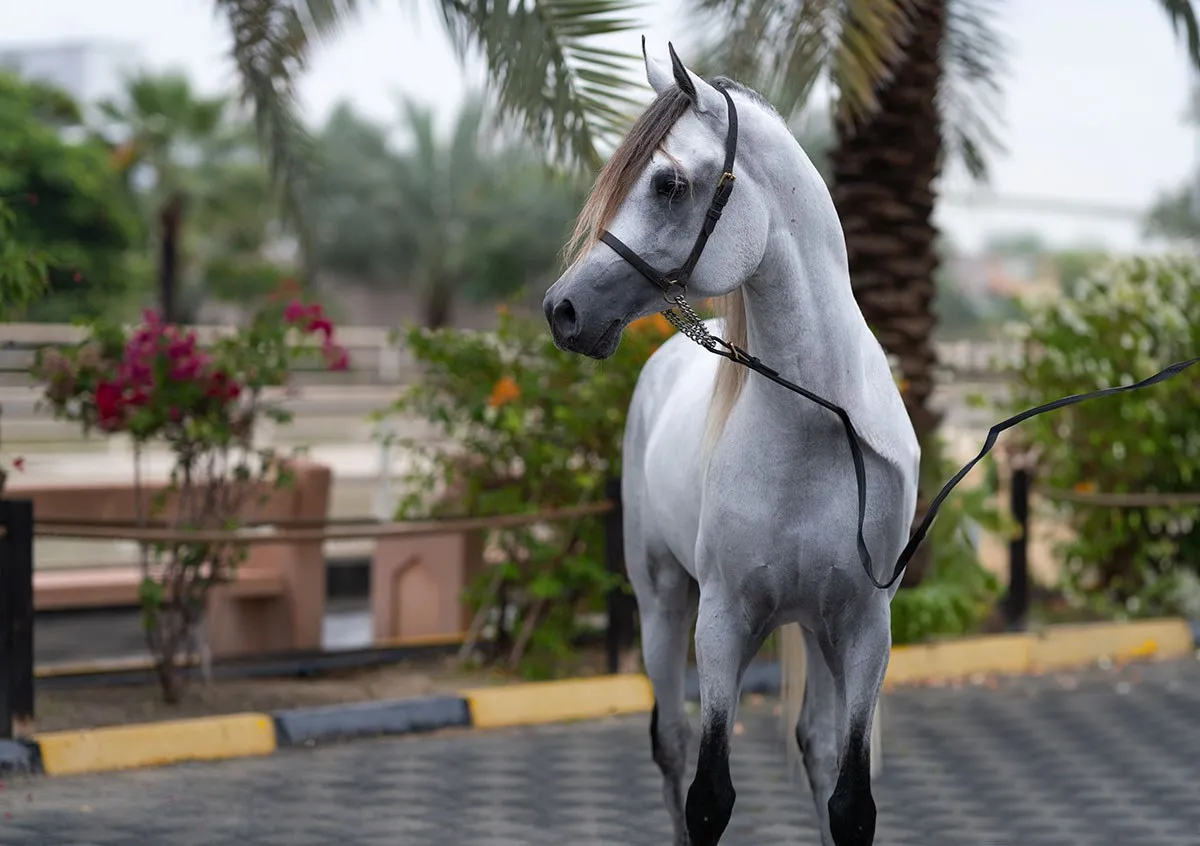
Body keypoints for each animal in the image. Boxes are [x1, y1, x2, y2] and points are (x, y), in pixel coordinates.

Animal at [542, 41, 919, 846]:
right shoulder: (720, 624)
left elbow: (850, 800)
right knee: (672, 744)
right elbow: (708, 793)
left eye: (669, 183)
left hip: (816, 630)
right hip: (661, 604)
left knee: (813, 744)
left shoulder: (864, 629)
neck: (818, 429)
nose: (563, 309)